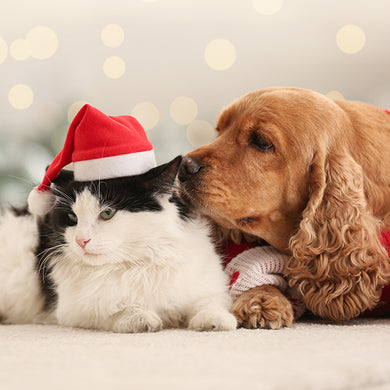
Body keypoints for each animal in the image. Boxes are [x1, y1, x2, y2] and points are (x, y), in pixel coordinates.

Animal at [0, 155, 238, 332]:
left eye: (107, 213)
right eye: (72, 217)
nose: (81, 240)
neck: (137, 265)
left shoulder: (209, 287)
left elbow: (209, 303)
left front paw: (215, 320)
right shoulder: (73, 309)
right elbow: (116, 310)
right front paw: (142, 318)